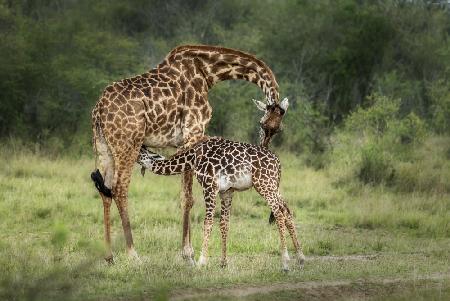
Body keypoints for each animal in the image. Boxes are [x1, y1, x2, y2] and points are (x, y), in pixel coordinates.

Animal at [91, 44, 288, 262]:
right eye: (262, 124)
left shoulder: (183, 141)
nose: (263, 147)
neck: (209, 73)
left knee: (105, 190)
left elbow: (185, 195)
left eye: (277, 130)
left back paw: (109, 256)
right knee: (119, 188)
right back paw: (133, 255)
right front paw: (188, 253)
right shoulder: (193, 132)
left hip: (103, 146)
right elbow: (188, 197)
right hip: (128, 145)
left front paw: (188, 251)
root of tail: (99, 109)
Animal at [137, 136, 306, 270]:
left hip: (264, 184)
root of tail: (278, 162)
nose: (130, 157)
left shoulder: (209, 186)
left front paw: (201, 262)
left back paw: (285, 262)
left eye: (139, 151)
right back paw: (301, 257)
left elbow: (208, 222)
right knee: (287, 212)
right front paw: (224, 263)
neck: (193, 158)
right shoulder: (227, 192)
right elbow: (224, 224)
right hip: (273, 185)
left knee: (278, 215)